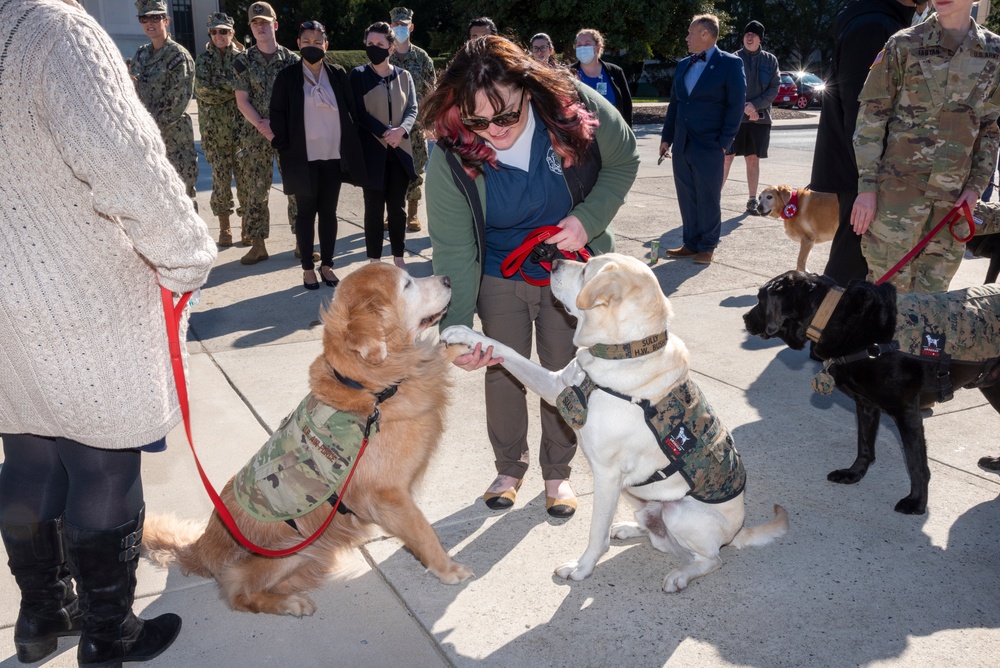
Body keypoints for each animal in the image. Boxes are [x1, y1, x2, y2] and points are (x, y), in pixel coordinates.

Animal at [141, 264, 472, 620]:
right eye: (407, 285)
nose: (448, 279)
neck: (370, 389)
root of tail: (202, 547)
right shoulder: (387, 496)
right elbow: (423, 531)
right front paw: (447, 568)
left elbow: (436, 355)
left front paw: (462, 346)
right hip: (291, 550)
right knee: (239, 592)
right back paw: (288, 603)